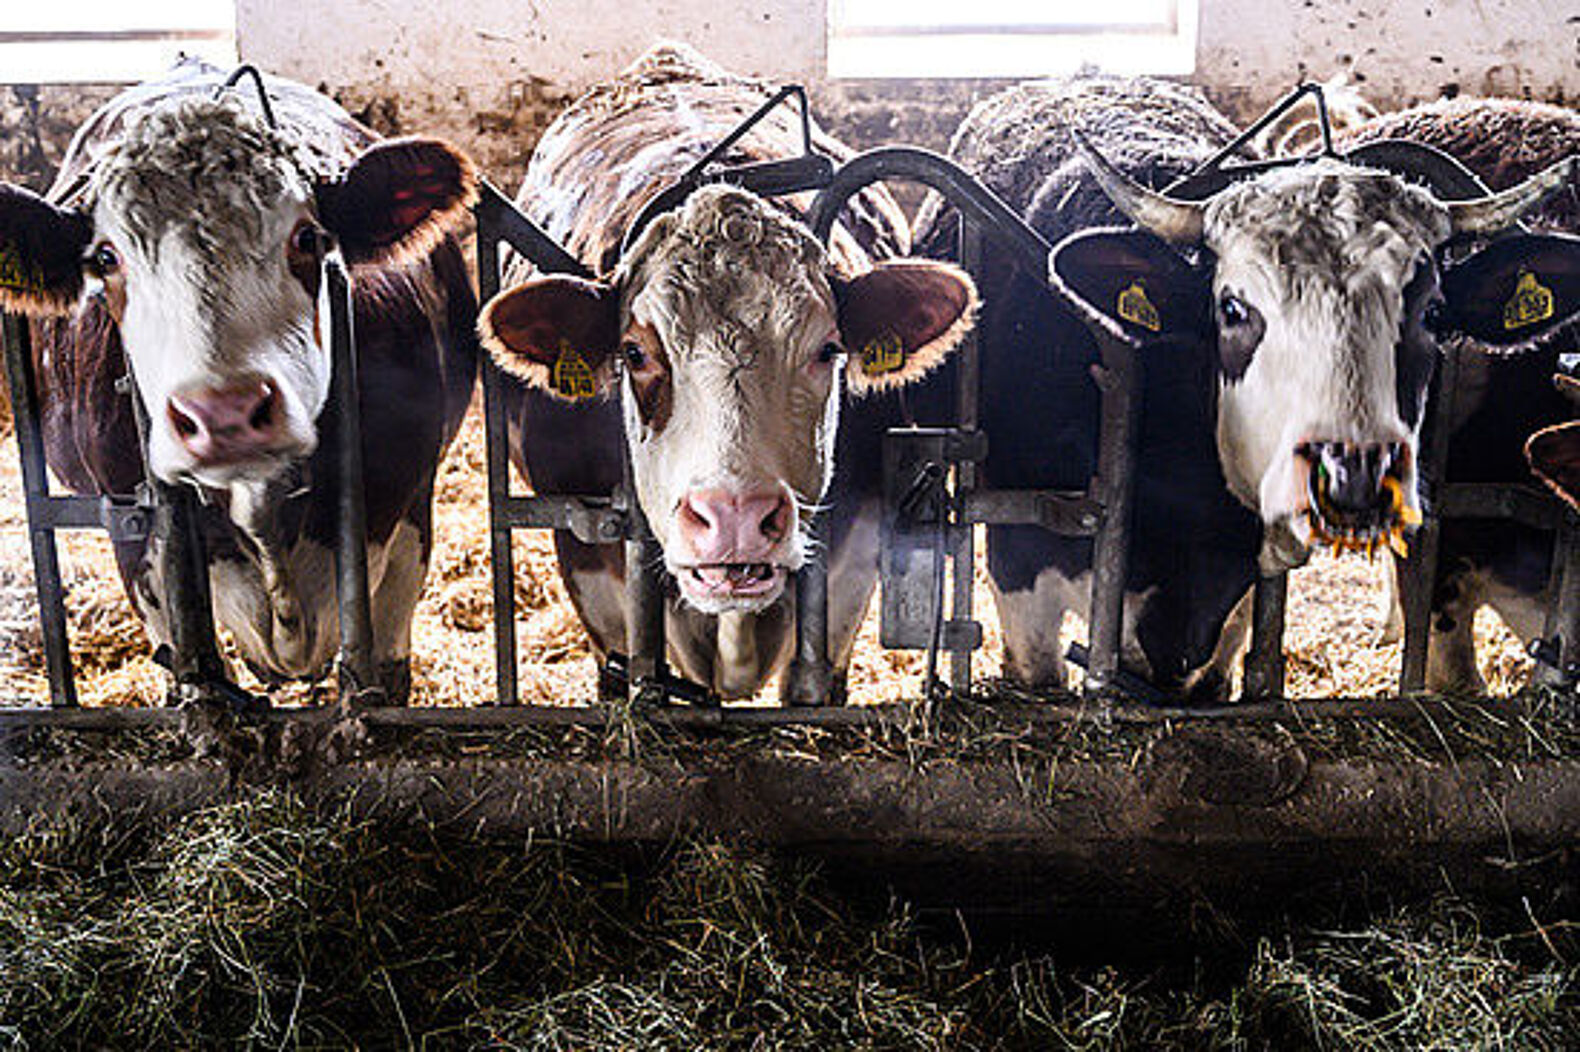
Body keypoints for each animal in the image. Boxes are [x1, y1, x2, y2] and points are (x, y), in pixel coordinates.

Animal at [0, 65, 480, 704]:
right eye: (105, 258)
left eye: (307, 237)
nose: (224, 413)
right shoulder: (138, 546)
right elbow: (197, 680)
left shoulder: (406, 511)